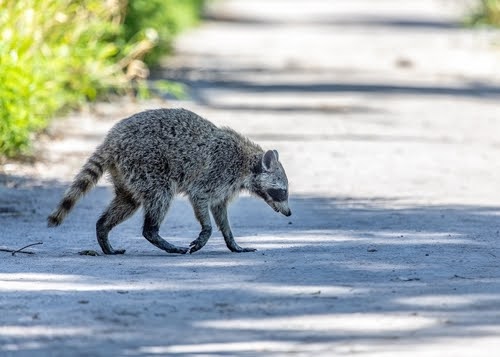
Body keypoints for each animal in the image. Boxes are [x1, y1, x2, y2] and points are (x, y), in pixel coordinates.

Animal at [47, 107, 290, 254]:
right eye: (283, 192)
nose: (289, 213)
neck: (246, 162)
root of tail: (111, 141)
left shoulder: (225, 187)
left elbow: (220, 211)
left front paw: (232, 241)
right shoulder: (216, 172)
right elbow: (200, 199)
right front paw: (206, 231)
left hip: (126, 173)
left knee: (128, 202)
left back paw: (103, 231)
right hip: (146, 164)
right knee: (160, 197)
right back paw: (156, 235)